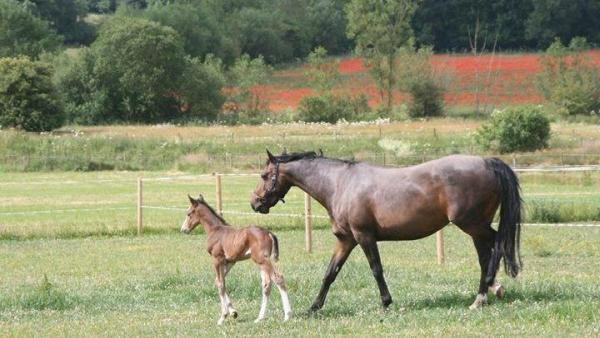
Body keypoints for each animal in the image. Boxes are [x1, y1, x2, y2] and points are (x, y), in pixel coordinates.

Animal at [248, 151, 520, 312]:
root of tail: (487, 162)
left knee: (497, 245)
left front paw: (386, 302)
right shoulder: (346, 240)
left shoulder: (364, 237)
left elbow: (376, 270)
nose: (255, 203)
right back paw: (487, 293)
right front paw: (314, 307)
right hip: (475, 228)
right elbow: (330, 273)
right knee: (486, 254)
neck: (339, 184)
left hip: (473, 225)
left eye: (264, 175)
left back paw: (486, 292)